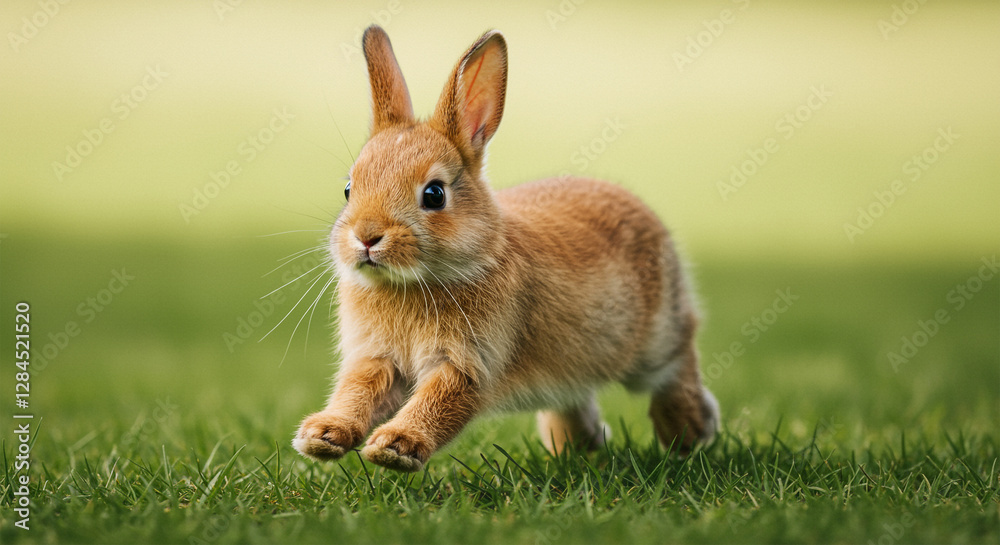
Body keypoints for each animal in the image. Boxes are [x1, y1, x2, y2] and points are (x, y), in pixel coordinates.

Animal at [293, 25, 719, 472]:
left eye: (434, 194)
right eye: (348, 188)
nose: (366, 236)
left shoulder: (470, 364)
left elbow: (437, 402)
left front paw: (394, 447)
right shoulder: (375, 359)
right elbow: (357, 392)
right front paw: (322, 437)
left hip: (655, 340)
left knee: (677, 361)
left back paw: (690, 431)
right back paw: (576, 445)